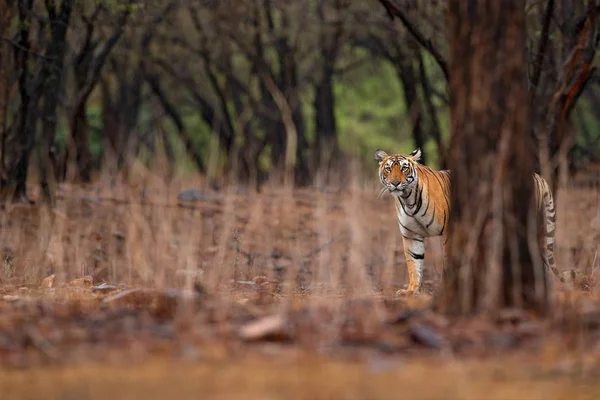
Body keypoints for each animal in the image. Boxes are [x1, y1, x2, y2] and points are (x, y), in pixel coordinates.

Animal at [372, 148, 564, 296]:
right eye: (388, 169)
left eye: (404, 168)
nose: (395, 183)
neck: (408, 199)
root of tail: (538, 175)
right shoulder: (411, 235)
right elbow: (414, 264)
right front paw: (411, 291)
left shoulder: (450, 230)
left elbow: (447, 261)